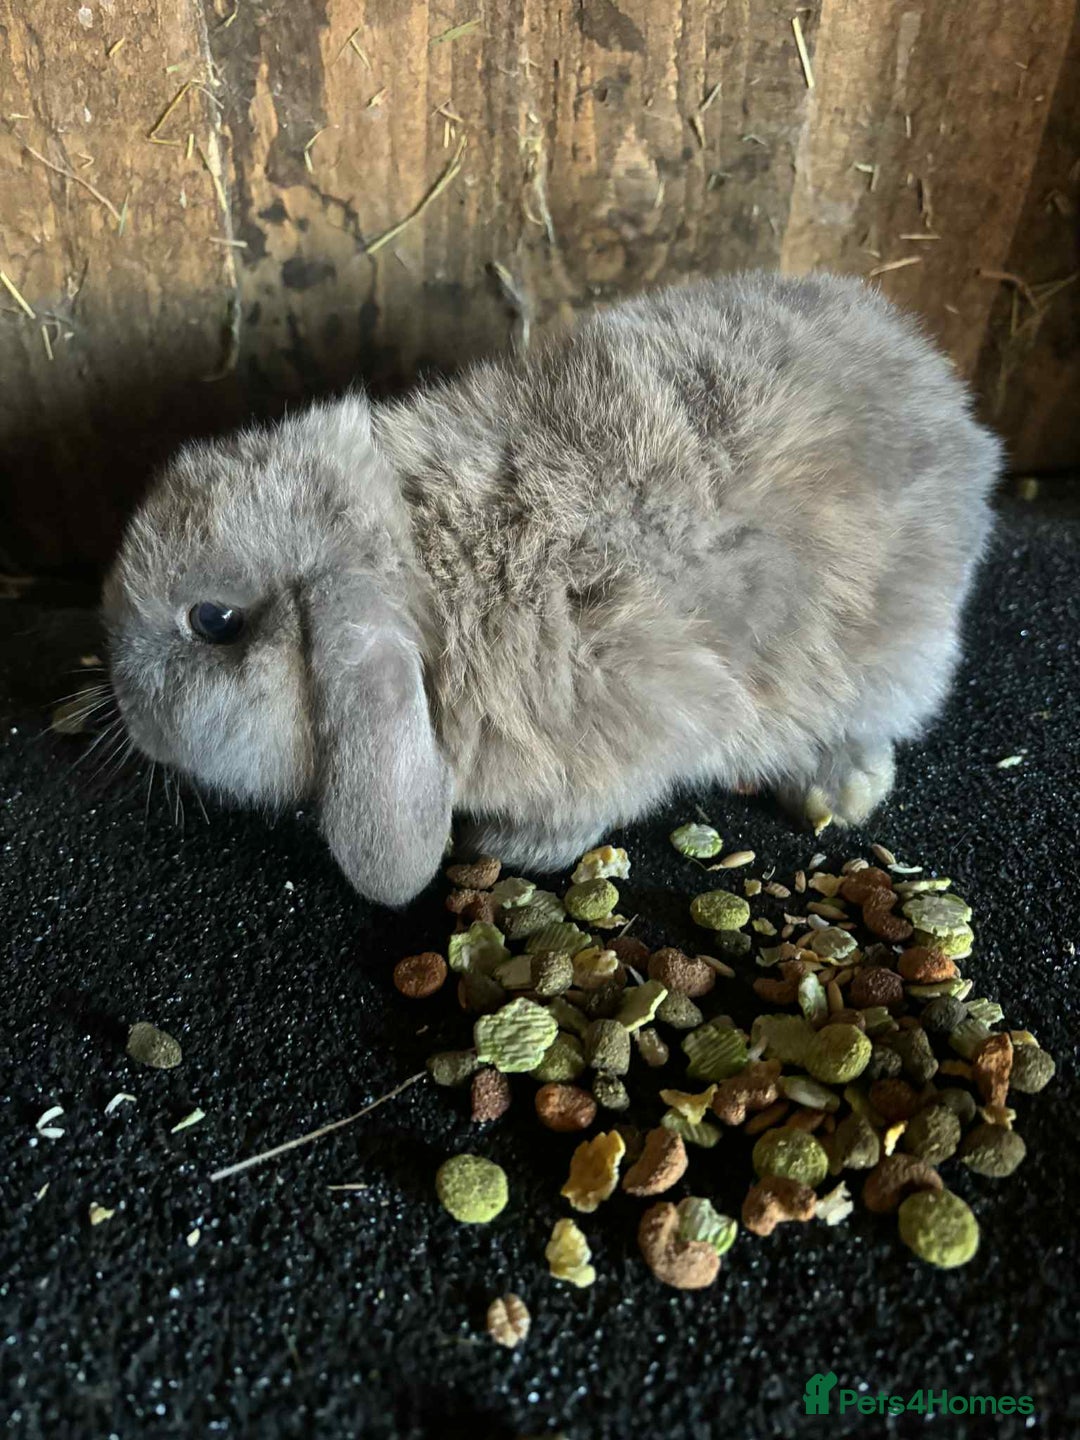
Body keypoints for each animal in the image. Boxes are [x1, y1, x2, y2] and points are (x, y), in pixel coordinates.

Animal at [103, 271, 1001, 906]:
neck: (432, 578)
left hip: (891, 654)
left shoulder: (640, 709)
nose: (122, 703)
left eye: (214, 620)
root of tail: (953, 406)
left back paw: (837, 788)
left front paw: (509, 848)